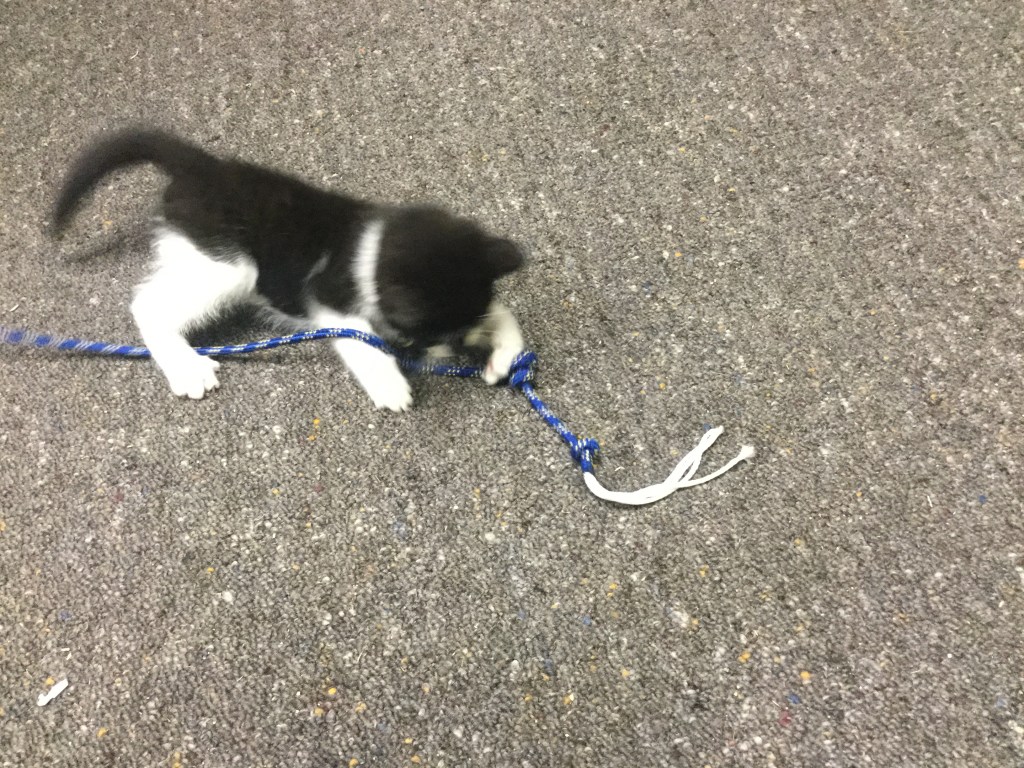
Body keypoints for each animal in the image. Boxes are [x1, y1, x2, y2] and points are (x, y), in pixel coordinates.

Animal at [50, 128, 526, 411]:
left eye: (463, 333)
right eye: (430, 335)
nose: (457, 353)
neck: (372, 245)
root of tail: (202, 169)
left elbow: (500, 312)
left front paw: (506, 352)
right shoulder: (327, 295)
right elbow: (360, 339)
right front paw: (390, 384)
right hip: (230, 264)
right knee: (147, 304)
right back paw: (186, 367)